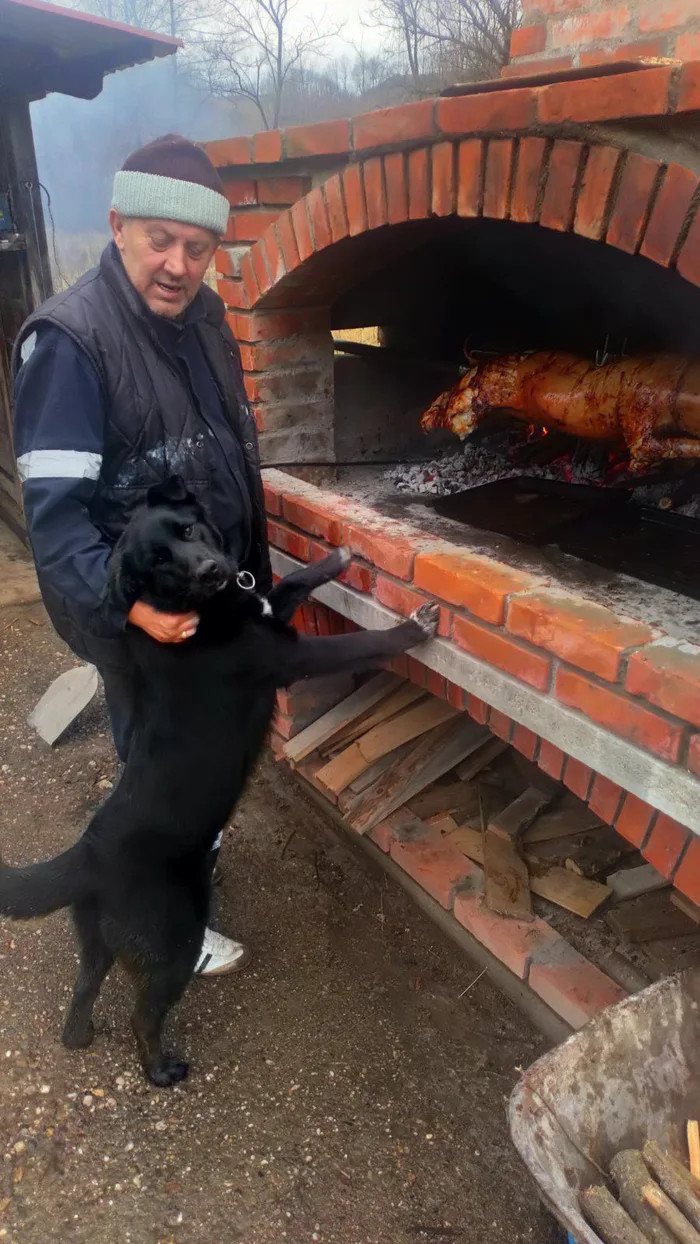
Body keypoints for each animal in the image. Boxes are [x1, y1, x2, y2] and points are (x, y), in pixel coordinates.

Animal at [0, 477, 437, 1089]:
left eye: (186, 531)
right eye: (159, 563)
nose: (212, 569)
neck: (199, 610)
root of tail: (87, 854)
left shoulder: (269, 607)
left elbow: (292, 582)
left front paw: (338, 557)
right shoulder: (294, 656)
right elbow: (366, 644)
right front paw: (413, 628)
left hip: (99, 944)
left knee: (83, 991)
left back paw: (80, 1036)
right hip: (174, 942)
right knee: (143, 1015)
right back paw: (162, 1070)